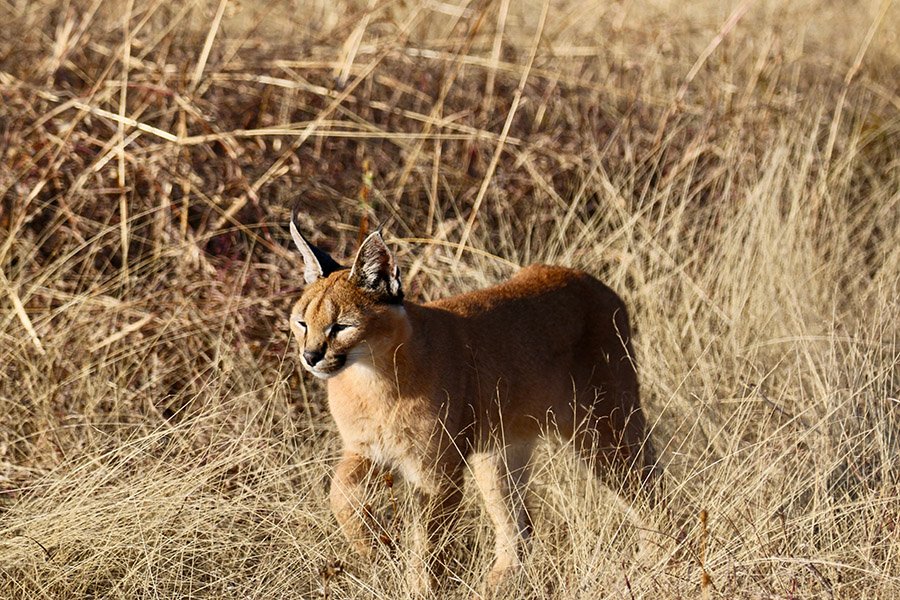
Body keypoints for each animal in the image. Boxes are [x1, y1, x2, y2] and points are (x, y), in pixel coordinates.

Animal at [288, 216, 652, 596]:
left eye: (341, 326)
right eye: (302, 322)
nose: (310, 356)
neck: (371, 377)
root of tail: (589, 280)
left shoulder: (437, 470)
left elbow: (428, 542)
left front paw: (420, 588)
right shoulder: (365, 449)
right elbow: (339, 494)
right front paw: (372, 546)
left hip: (604, 428)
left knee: (650, 493)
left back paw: (651, 564)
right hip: (498, 452)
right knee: (519, 526)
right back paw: (496, 585)